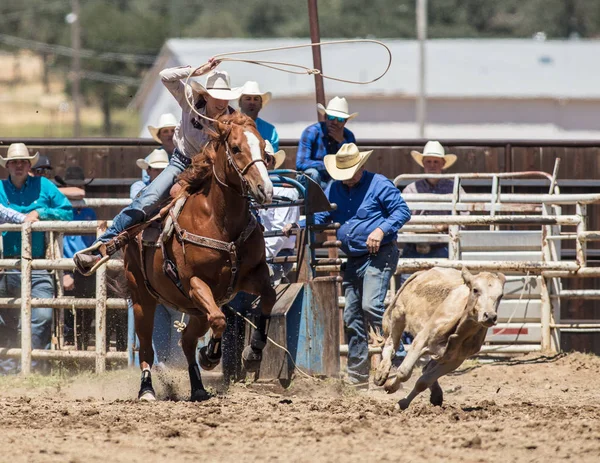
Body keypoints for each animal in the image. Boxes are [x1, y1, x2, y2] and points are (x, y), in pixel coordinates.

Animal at [126, 112, 276, 402]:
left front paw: (253, 352)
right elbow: (219, 319)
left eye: (264, 148)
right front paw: (210, 356)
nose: (265, 190)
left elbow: (269, 298)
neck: (219, 221)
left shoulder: (254, 274)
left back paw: (197, 387)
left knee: (186, 341)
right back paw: (147, 389)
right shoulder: (195, 283)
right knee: (147, 348)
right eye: (236, 148)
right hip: (142, 298)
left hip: (195, 310)